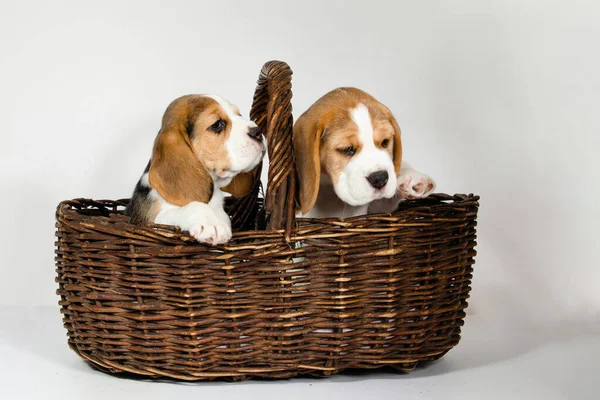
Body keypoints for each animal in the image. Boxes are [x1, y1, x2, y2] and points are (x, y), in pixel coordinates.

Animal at [126, 94, 264, 244]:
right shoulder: (151, 222)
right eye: (217, 124)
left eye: (239, 115)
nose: (258, 132)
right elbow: (194, 206)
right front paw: (212, 224)